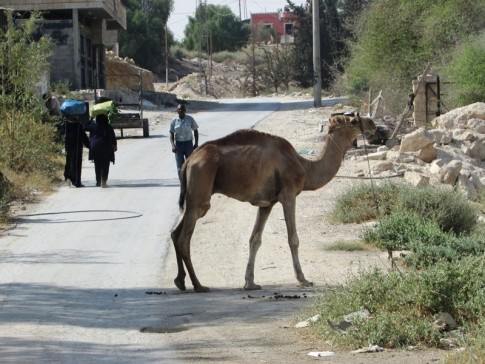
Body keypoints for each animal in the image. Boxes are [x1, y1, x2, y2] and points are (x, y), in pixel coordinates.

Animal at [172, 112, 376, 292]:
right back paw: (198, 285)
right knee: (184, 238)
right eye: (353, 120)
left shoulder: (267, 203)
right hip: (201, 186)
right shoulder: (289, 194)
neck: (305, 167)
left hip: (193, 197)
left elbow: (255, 239)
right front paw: (303, 279)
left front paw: (250, 283)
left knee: (175, 233)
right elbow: (293, 239)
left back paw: (180, 281)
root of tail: (189, 160)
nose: (372, 122)